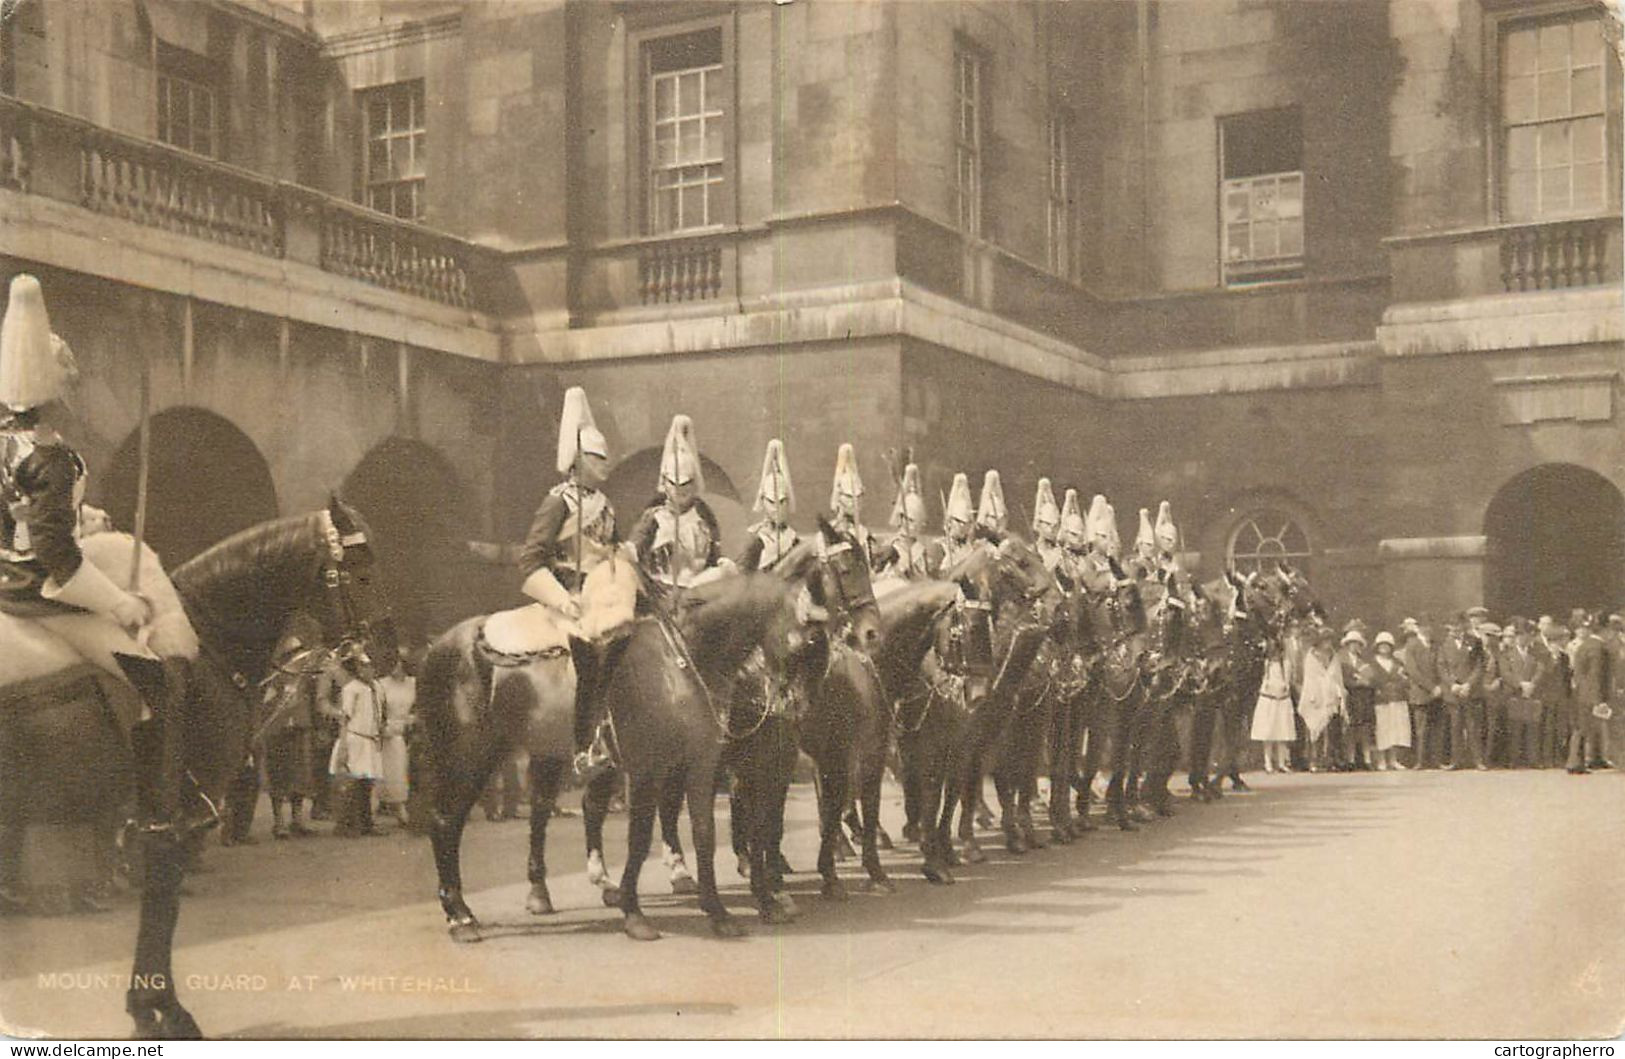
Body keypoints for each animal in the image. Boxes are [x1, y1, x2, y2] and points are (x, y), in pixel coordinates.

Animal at [0, 500, 390, 1039]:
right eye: (361, 570)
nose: (387, 654)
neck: (209, 641)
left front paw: (151, 1007)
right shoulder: (179, 813)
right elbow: (163, 898)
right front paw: (161, 1011)